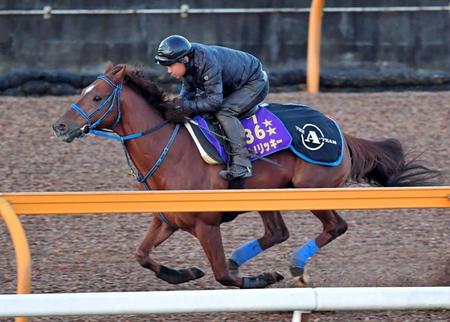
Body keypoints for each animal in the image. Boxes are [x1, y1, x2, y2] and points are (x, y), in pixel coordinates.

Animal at [51, 64, 438, 288]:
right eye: (82, 92)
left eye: (97, 97)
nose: (60, 126)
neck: (170, 152)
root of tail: (339, 131)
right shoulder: (167, 219)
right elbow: (141, 254)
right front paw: (182, 273)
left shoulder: (206, 225)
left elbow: (223, 276)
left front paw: (261, 277)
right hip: (269, 195)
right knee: (277, 232)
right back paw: (245, 257)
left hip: (313, 189)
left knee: (335, 227)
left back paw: (295, 266)